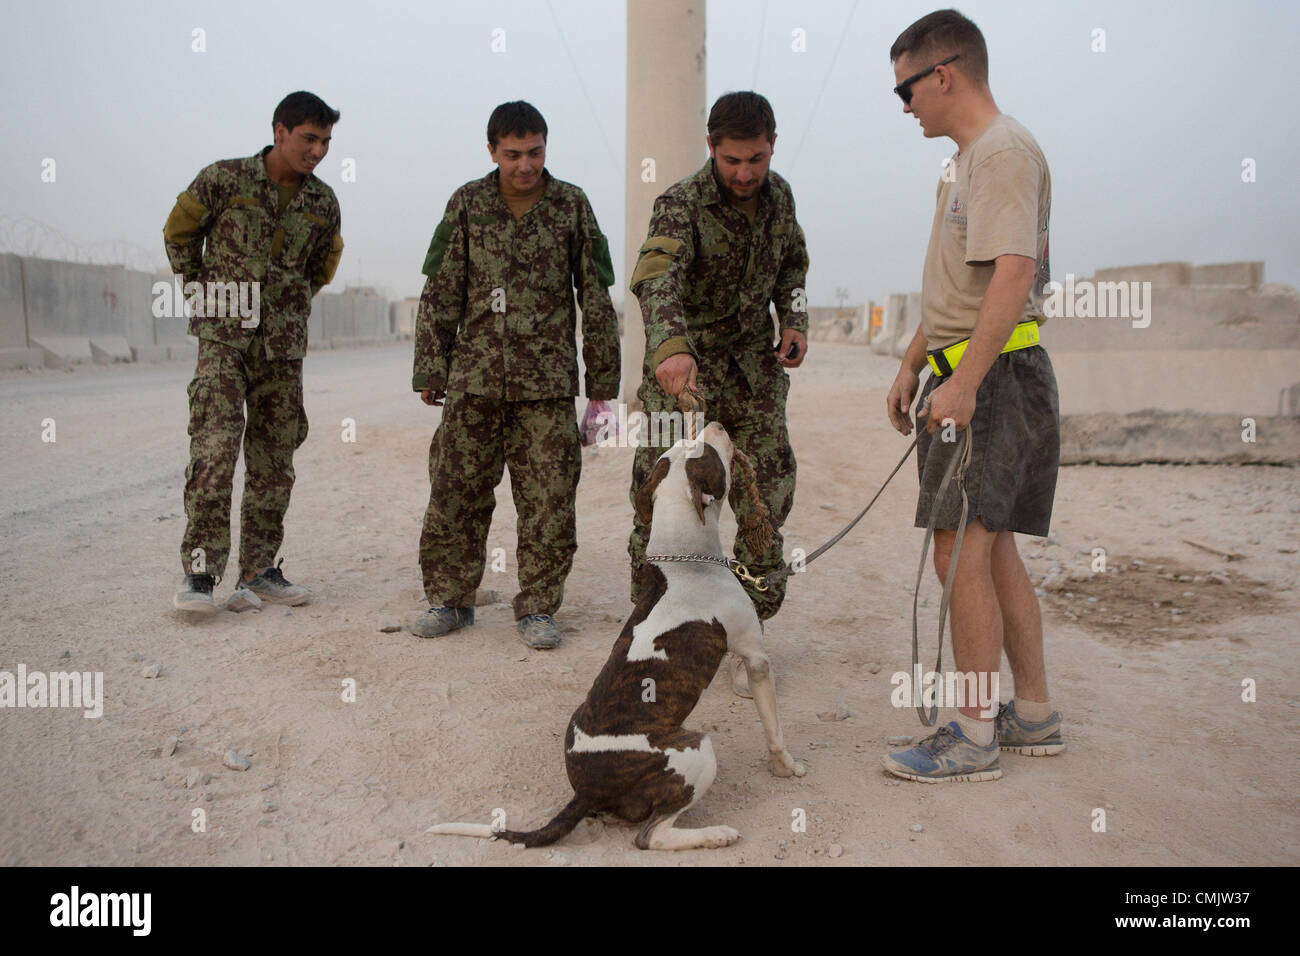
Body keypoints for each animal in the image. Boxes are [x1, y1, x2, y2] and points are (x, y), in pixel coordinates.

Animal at [431, 426, 806, 853]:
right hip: (696, 748)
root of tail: (586, 791)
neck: (685, 559)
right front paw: (786, 767)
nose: (718, 425)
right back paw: (715, 835)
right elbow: (774, 730)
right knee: (651, 836)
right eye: (708, 451)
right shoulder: (756, 658)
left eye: (687, 446)